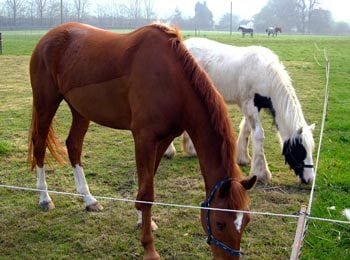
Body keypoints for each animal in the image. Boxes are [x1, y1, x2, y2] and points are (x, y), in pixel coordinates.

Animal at [28, 22, 258, 260]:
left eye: (246, 221)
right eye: (220, 223)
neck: (170, 79)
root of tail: (49, 36)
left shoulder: (164, 138)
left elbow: (146, 183)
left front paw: (143, 221)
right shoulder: (144, 138)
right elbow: (147, 192)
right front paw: (149, 248)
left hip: (80, 110)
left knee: (74, 146)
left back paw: (89, 200)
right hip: (46, 103)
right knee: (39, 145)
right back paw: (45, 198)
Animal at [165, 38, 316, 185]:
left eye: (311, 149)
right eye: (300, 150)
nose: (309, 179)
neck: (264, 74)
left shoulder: (254, 108)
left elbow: (246, 129)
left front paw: (242, 158)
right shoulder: (250, 106)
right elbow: (258, 135)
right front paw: (261, 173)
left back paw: (190, 150)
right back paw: (169, 152)